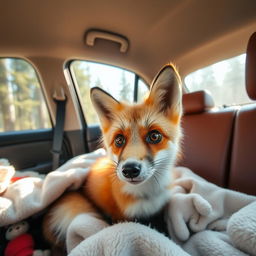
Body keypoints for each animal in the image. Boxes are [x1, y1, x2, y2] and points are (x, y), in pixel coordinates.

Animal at [43, 63, 183, 248]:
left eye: (154, 136)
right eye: (119, 140)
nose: (130, 170)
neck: (148, 196)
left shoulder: (159, 210)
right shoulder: (125, 217)